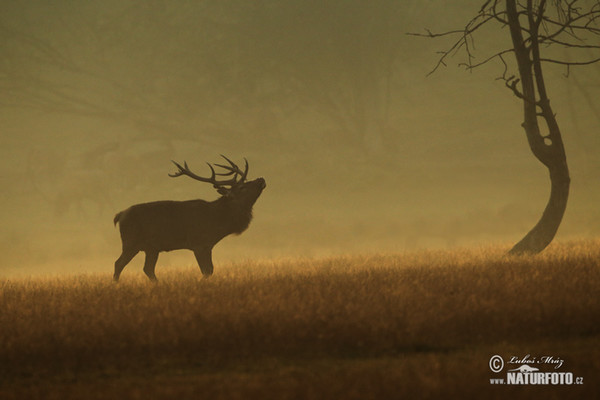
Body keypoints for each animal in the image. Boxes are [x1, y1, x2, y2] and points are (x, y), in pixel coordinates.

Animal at [112, 155, 264, 282]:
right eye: (242, 187)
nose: (261, 179)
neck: (217, 222)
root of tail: (119, 215)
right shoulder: (198, 244)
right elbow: (207, 270)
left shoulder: (208, 245)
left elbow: (210, 270)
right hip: (130, 242)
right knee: (118, 263)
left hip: (151, 248)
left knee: (148, 268)